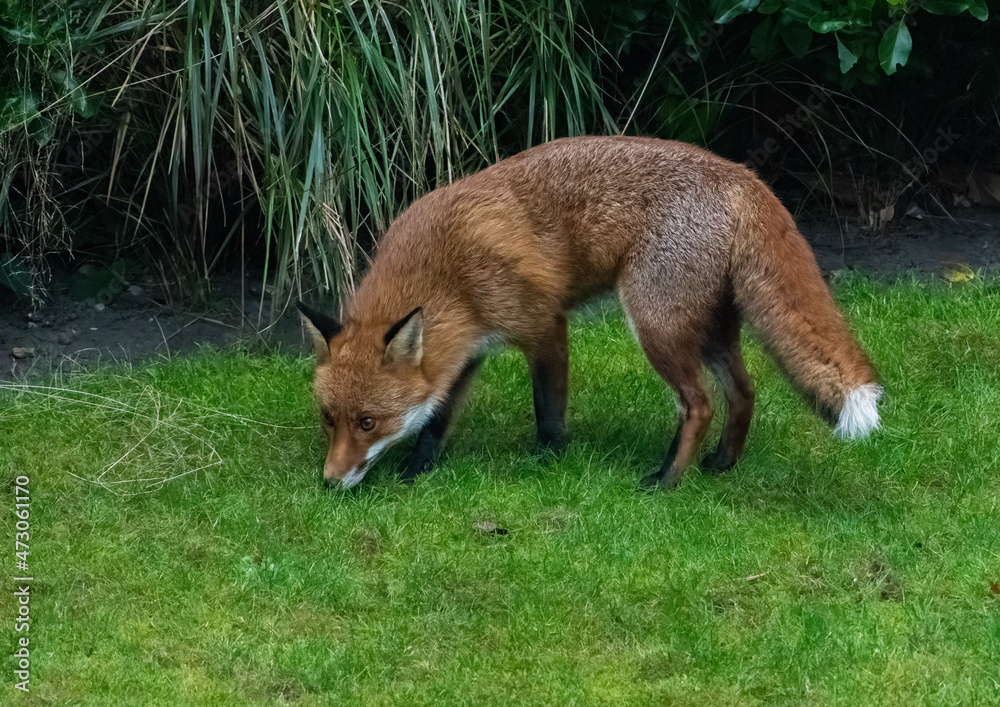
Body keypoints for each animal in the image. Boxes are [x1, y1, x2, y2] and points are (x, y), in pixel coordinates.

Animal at [298, 136, 881, 490]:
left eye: (368, 422)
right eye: (329, 419)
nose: (329, 481)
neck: (447, 272)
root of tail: (740, 173)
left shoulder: (544, 326)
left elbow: (549, 413)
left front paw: (548, 463)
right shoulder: (461, 351)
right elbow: (436, 419)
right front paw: (419, 471)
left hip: (656, 325)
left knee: (699, 404)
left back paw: (667, 481)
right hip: (709, 329)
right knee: (744, 391)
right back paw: (720, 465)